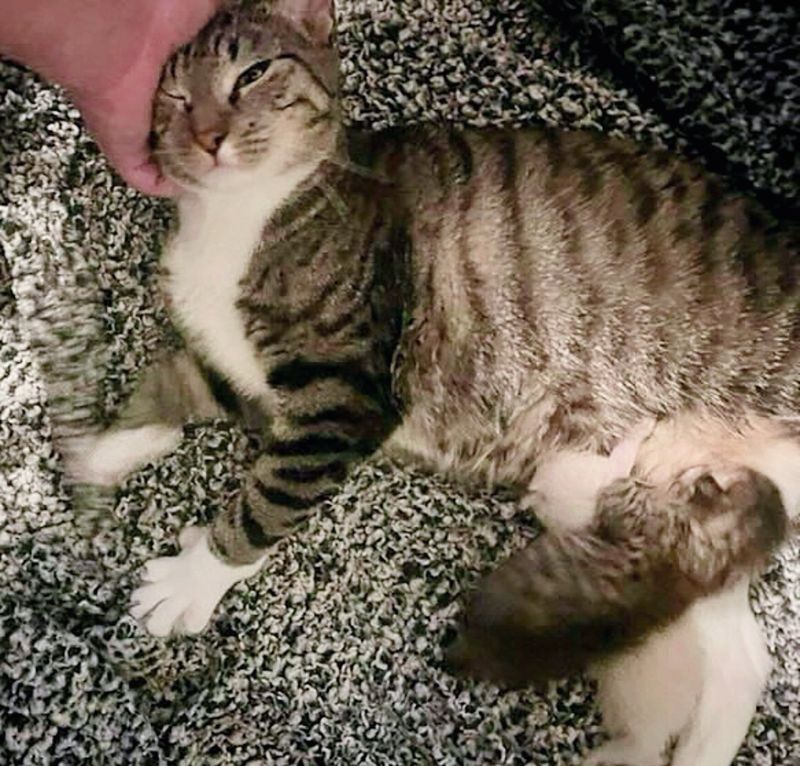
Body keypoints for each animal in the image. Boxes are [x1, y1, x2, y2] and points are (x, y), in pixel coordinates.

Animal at [62, 1, 800, 766]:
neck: (240, 219)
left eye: (254, 73)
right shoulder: (240, 368)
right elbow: (175, 382)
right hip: (684, 511)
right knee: (742, 651)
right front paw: (104, 449)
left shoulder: (343, 392)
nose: (208, 136)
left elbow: (266, 501)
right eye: (176, 97)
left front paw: (194, 578)